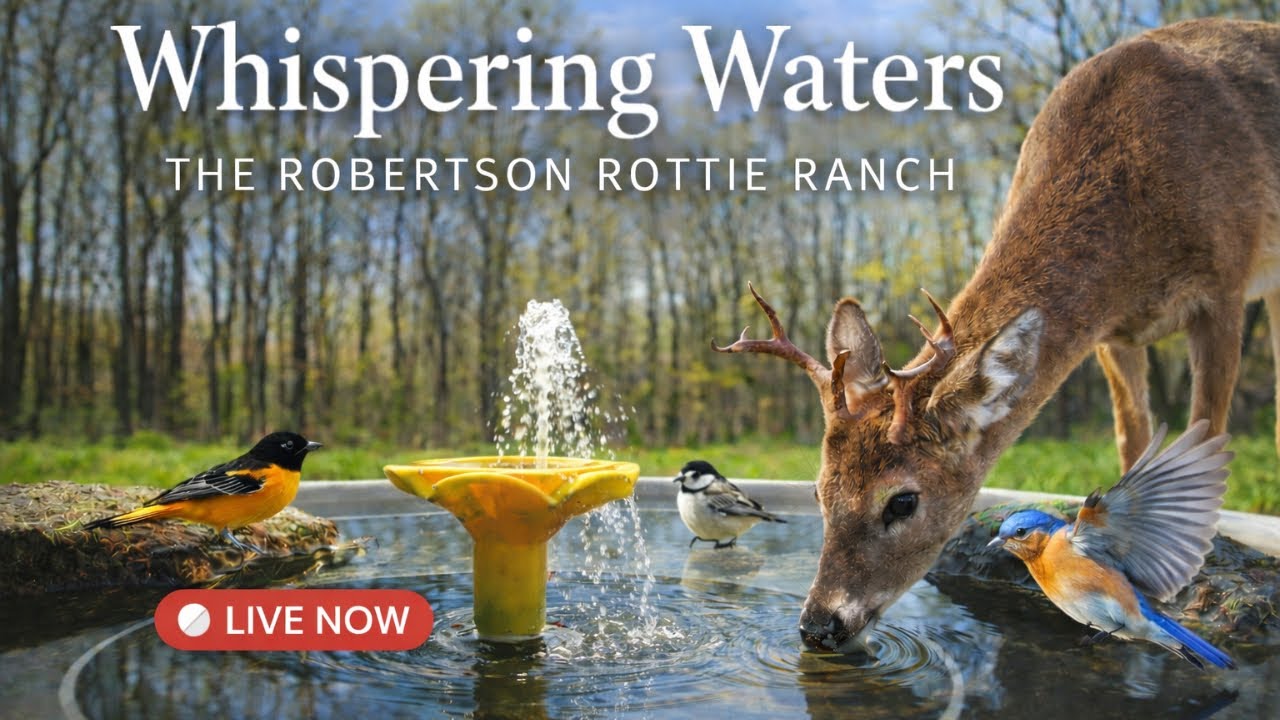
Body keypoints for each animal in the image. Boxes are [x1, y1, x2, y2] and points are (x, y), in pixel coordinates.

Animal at [715, 18, 1280, 653]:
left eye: (903, 500)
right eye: (817, 490)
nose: (819, 625)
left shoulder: (1225, 287)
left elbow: (1208, 423)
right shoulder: (1113, 334)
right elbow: (1131, 437)